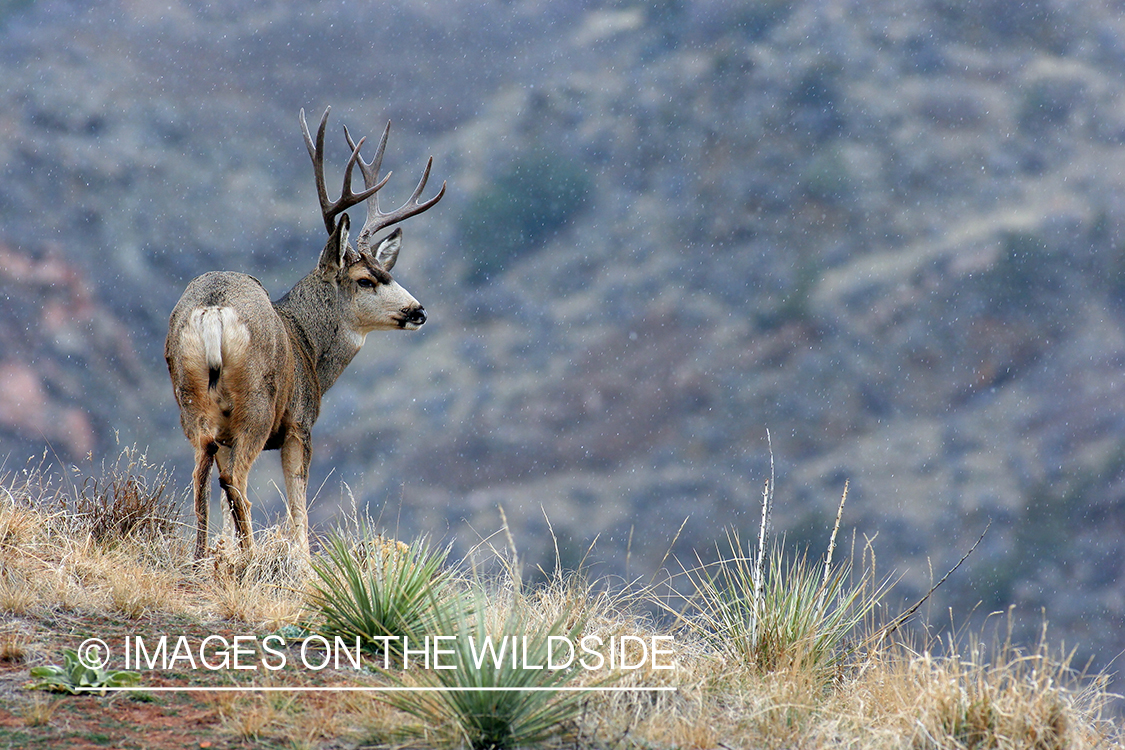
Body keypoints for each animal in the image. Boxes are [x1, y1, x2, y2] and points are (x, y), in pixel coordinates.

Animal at [165, 107, 444, 561]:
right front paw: (304, 566)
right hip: (257, 406)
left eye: (387, 271)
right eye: (366, 280)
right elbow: (299, 508)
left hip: (192, 404)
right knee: (235, 481)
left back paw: (203, 556)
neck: (307, 345)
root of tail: (214, 310)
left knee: (201, 475)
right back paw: (248, 558)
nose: (418, 311)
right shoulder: (300, 424)